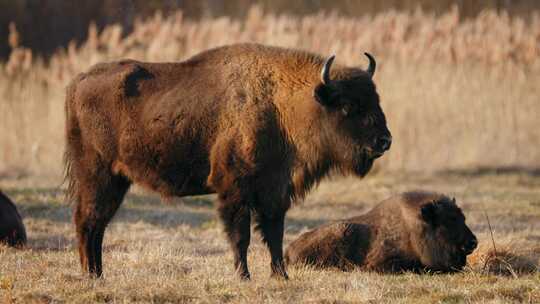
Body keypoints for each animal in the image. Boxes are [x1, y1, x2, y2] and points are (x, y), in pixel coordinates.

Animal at [65, 43, 390, 280]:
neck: (281, 104)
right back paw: (92, 275)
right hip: (98, 177)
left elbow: (275, 234)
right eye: (347, 106)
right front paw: (243, 276)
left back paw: (97, 274)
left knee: (97, 225)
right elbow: (240, 236)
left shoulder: (274, 192)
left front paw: (281, 276)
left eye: (376, 100)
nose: (384, 141)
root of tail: (77, 82)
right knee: (87, 221)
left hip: (116, 182)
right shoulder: (235, 190)